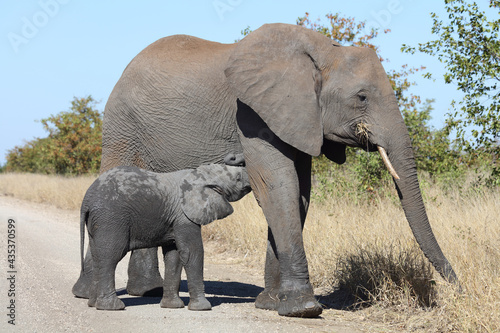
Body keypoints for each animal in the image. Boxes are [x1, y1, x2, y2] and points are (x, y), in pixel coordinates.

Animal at [77, 165, 250, 310]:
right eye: (237, 178)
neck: (202, 174)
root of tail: (87, 199)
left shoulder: (174, 219)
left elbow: (174, 256)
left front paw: (173, 306)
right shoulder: (184, 216)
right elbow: (191, 252)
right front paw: (203, 308)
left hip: (99, 221)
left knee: (97, 256)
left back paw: (93, 304)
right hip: (111, 218)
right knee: (110, 256)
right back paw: (112, 307)